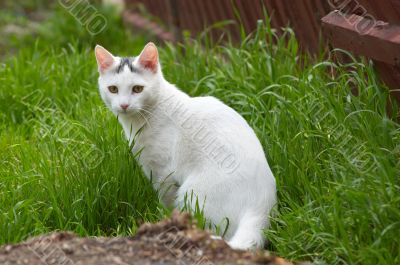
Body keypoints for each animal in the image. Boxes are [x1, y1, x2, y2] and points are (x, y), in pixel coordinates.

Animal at [94, 42, 276, 249]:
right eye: (113, 89)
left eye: (138, 89)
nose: (124, 105)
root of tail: (261, 207)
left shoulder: (163, 173)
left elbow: (165, 201)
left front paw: (163, 218)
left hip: (192, 194)